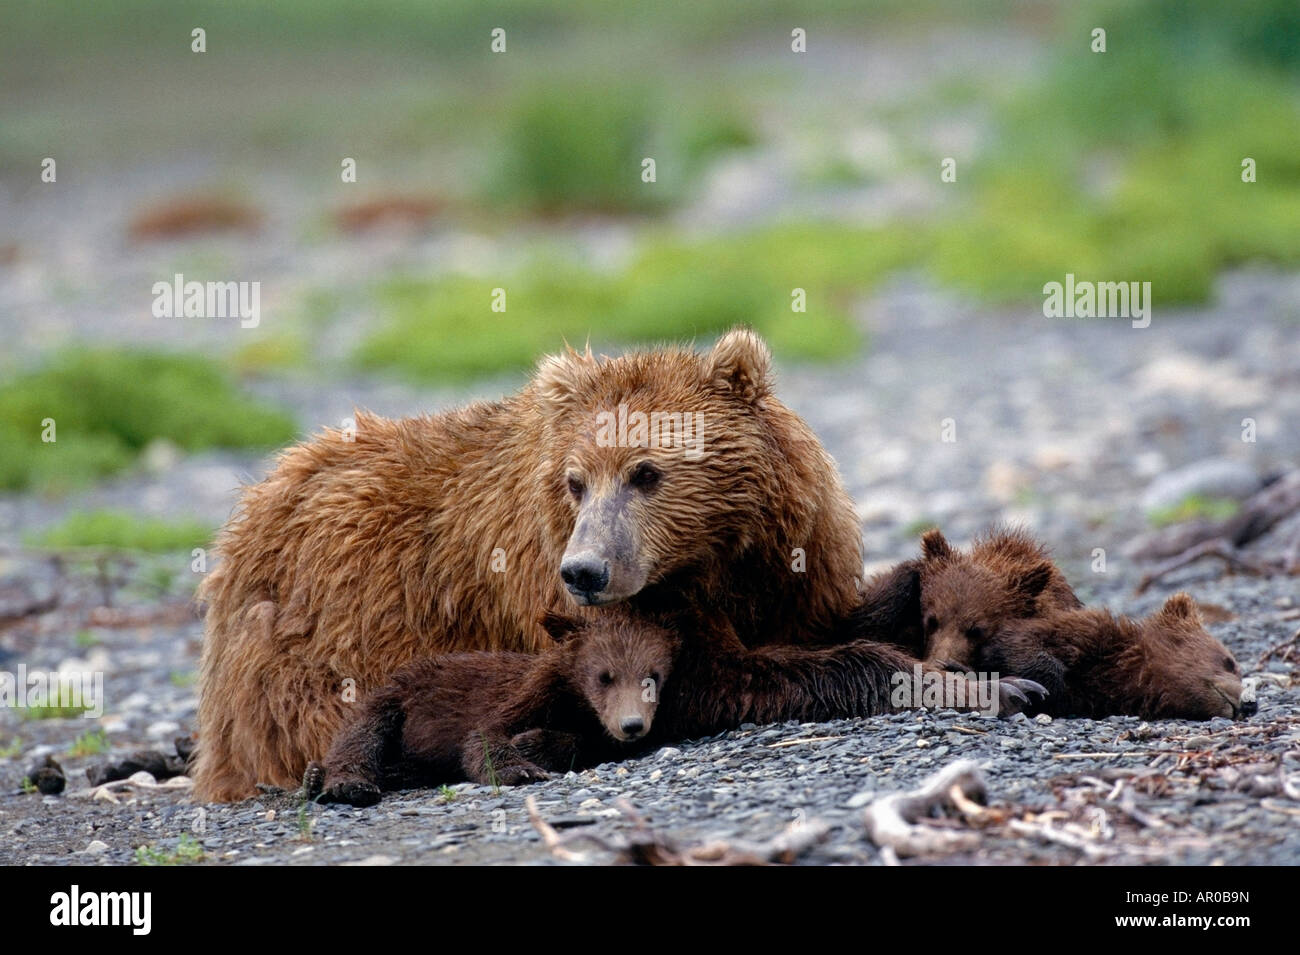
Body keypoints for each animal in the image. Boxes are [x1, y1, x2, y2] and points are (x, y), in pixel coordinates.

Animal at [194, 328, 873, 801]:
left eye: (646, 472)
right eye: (576, 481)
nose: (585, 571)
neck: (714, 562)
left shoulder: (795, 564)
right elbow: (689, 684)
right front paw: (870, 667)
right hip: (315, 645)